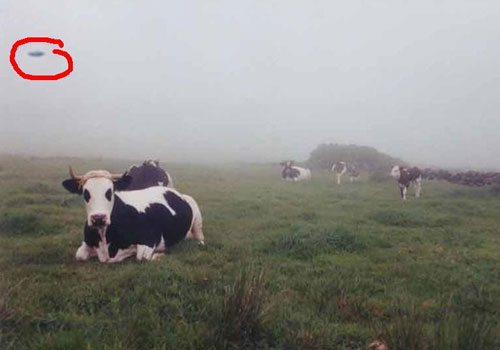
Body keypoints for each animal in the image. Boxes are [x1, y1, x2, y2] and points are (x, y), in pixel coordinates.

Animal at [62, 167, 203, 262]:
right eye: (85, 193)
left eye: (110, 191)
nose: (98, 218)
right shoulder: (86, 243)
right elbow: (79, 255)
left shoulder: (149, 240)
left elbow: (141, 257)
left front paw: (160, 254)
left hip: (197, 218)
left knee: (200, 237)